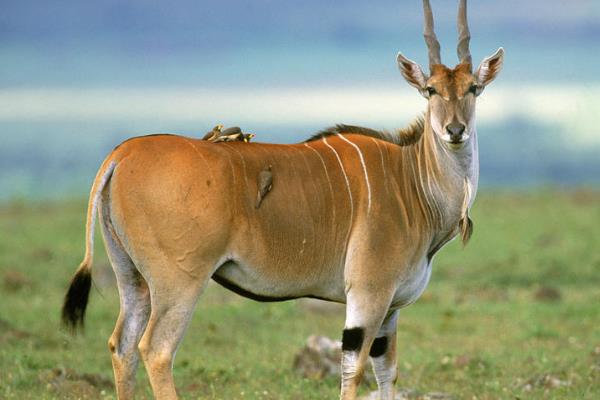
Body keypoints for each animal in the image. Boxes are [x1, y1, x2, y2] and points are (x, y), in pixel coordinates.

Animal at [62, 0, 504, 399]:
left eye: (474, 88)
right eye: (430, 90)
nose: (455, 130)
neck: (410, 181)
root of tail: (125, 152)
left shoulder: (390, 309)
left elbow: (386, 375)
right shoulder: (369, 295)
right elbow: (353, 372)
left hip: (132, 278)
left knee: (122, 346)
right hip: (179, 283)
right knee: (155, 350)